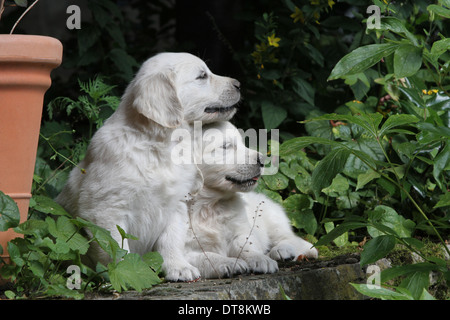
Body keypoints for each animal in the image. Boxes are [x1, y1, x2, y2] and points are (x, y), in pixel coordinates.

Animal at [185, 121, 318, 278]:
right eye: (226, 146)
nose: (262, 160)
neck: (209, 205)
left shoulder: (241, 231)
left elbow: (247, 246)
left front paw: (260, 259)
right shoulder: (182, 250)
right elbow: (206, 257)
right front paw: (228, 262)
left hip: (273, 218)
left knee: (292, 239)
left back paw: (283, 251)